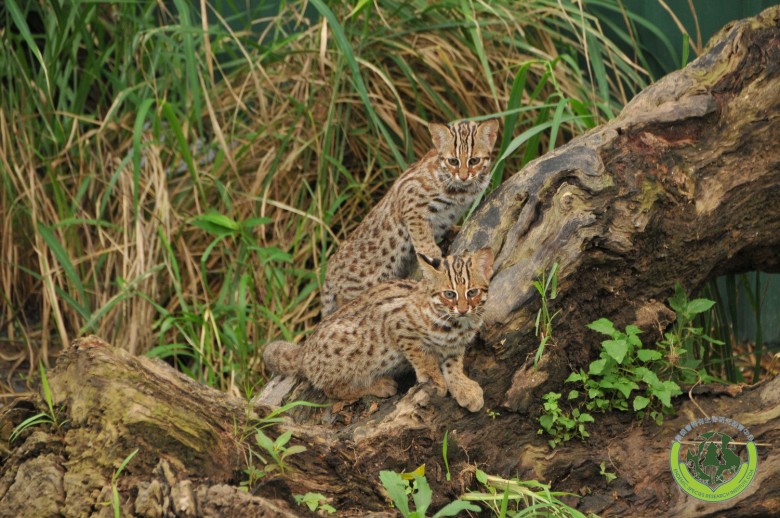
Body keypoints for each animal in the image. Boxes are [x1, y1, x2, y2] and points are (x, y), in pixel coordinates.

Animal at [266, 249, 490, 414]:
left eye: (472, 292)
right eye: (449, 294)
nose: (463, 309)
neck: (459, 323)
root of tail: (304, 350)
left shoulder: (455, 346)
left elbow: (453, 365)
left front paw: (463, 387)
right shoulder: (396, 323)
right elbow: (422, 356)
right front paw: (434, 379)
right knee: (331, 389)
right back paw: (379, 385)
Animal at [322, 119, 500, 316]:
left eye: (474, 160)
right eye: (453, 161)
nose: (463, 176)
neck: (461, 189)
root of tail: (329, 271)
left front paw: (454, 230)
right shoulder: (412, 207)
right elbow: (424, 242)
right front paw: (435, 261)